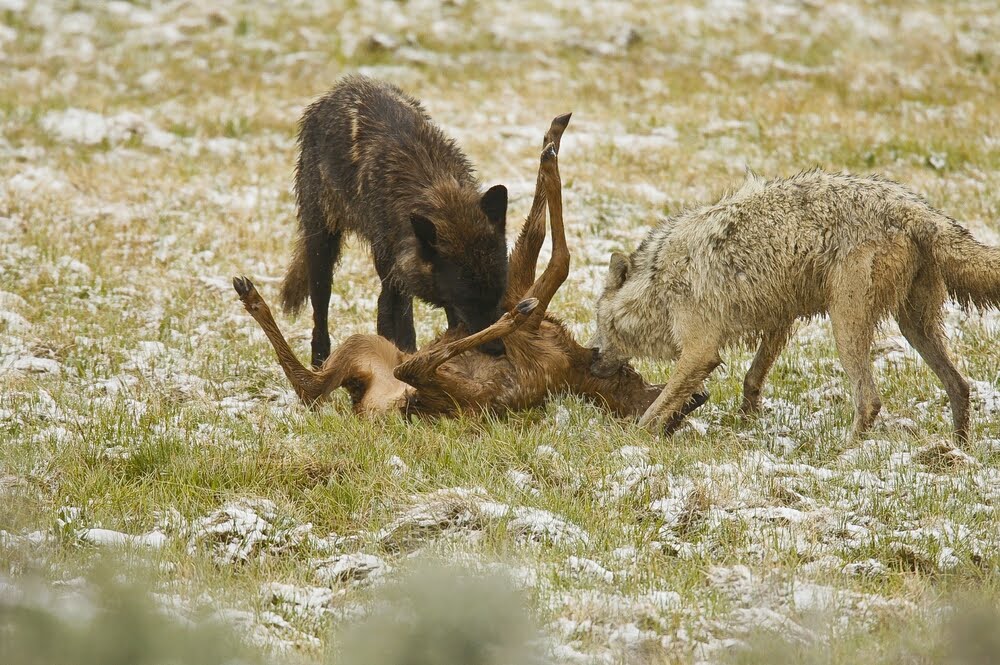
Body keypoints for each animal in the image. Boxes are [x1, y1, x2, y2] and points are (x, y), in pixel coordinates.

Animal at [280, 75, 509, 367]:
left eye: (498, 295)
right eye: (468, 300)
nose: (498, 348)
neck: (436, 188)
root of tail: (342, 87)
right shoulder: (392, 273)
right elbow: (393, 323)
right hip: (322, 248)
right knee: (321, 313)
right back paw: (319, 365)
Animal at [590, 168, 1000, 441]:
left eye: (600, 325)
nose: (591, 360)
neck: (658, 282)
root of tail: (919, 210)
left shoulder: (700, 352)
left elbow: (654, 411)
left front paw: (630, 441)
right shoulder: (780, 319)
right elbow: (752, 379)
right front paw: (747, 425)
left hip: (846, 325)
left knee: (869, 400)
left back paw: (846, 453)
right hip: (914, 326)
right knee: (960, 385)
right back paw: (957, 450)